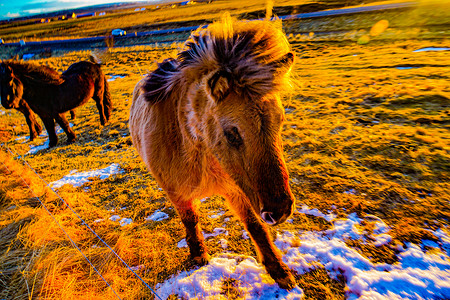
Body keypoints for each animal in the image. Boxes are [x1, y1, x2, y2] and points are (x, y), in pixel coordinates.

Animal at [129, 17, 298, 290]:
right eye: (232, 133)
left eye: (281, 120)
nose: (280, 211)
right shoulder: (177, 193)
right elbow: (190, 219)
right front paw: (199, 255)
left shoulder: (236, 188)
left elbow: (255, 225)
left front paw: (278, 270)